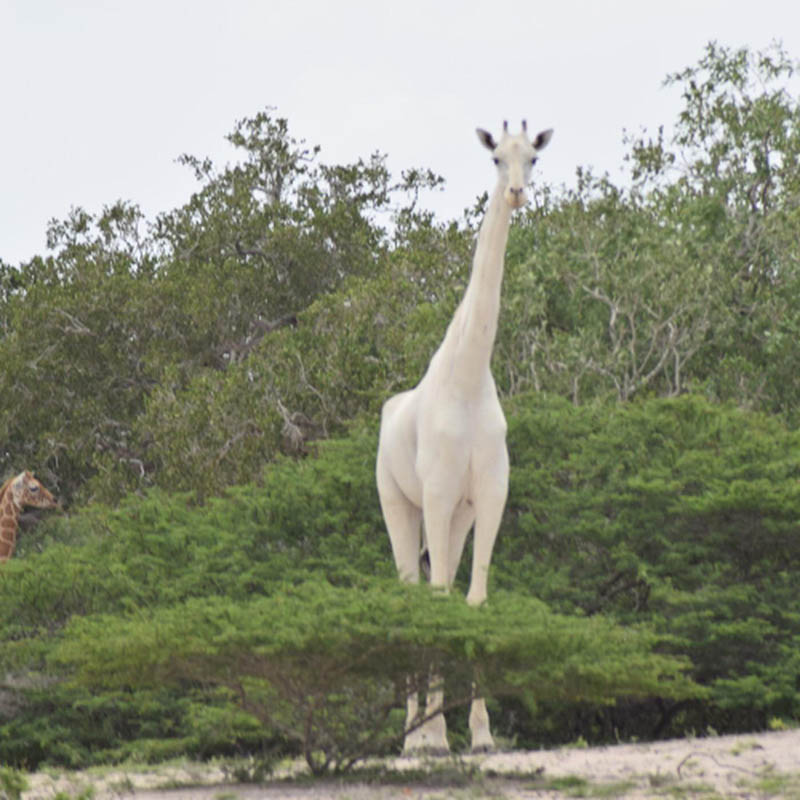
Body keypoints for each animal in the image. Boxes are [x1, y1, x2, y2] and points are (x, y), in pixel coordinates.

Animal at [376, 119, 552, 752]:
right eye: (496, 158)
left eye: (534, 158)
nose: (517, 193)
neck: (470, 378)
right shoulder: (436, 492)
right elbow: (434, 599)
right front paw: (430, 735)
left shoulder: (489, 494)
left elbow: (472, 600)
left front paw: (480, 733)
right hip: (400, 502)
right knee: (411, 588)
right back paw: (415, 734)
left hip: (456, 515)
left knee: (443, 583)